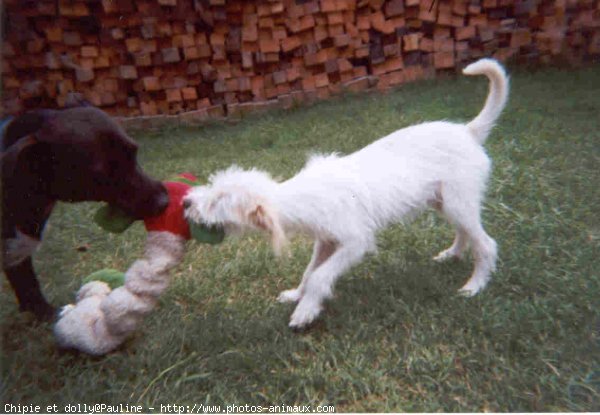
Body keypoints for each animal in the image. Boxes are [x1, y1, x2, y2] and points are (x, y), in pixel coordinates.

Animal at [183, 58, 506, 330]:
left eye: (217, 202)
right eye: (212, 187)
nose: (185, 202)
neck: (296, 197)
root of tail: (467, 132)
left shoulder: (355, 242)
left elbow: (319, 276)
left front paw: (305, 311)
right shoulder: (326, 241)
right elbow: (308, 271)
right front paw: (295, 295)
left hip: (458, 203)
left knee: (486, 244)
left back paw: (474, 286)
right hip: (447, 203)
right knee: (464, 233)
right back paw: (451, 255)